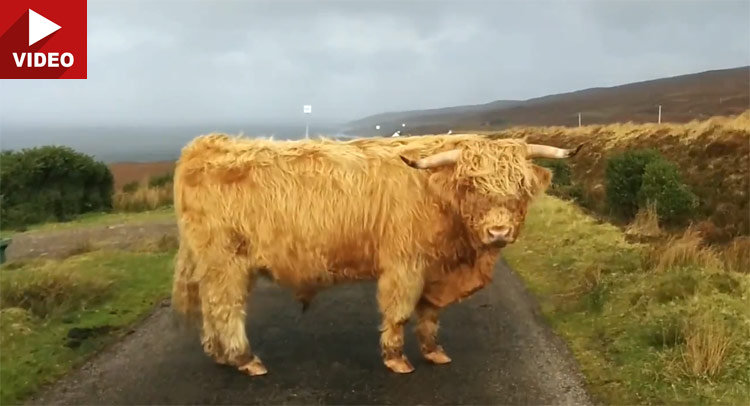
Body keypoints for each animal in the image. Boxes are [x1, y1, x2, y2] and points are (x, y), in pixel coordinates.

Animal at [172, 133, 580, 374]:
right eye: (471, 185)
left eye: (521, 187)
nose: (498, 232)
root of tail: (204, 145)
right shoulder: (405, 265)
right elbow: (399, 311)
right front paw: (396, 358)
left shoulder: (435, 270)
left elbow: (429, 313)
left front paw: (433, 350)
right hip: (226, 261)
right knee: (226, 308)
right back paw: (245, 358)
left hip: (216, 265)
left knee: (211, 306)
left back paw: (219, 354)